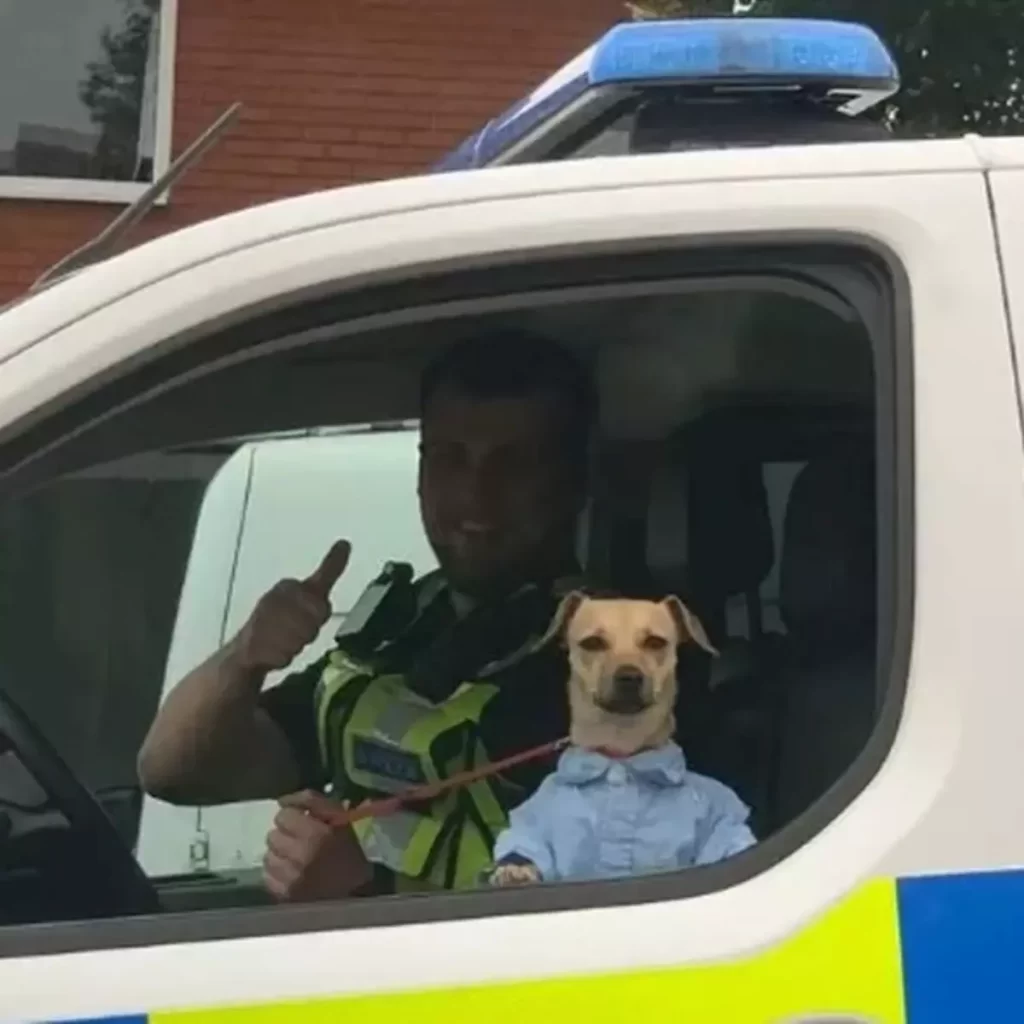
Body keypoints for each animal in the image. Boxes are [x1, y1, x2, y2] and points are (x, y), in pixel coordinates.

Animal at [483, 593, 757, 888]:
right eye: (592, 643)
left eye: (655, 642)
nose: (629, 676)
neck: (621, 756)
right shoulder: (536, 825)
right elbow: (525, 847)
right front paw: (515, 870)